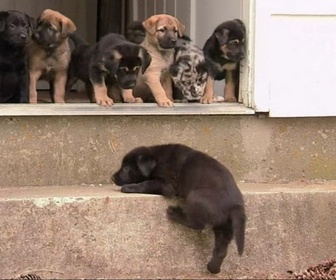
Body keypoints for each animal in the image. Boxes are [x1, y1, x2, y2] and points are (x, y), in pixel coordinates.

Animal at [111, 143, 245, 274]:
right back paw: (213, 268)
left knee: (197, 224)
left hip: (195, 196)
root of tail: (235, 206)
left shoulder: (166, 184)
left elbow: (147, 183)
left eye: (126, 167)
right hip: (225, 226)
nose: (112, 178)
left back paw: (174, 213)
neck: (158, 159)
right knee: (221, 250)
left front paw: (129, 187)